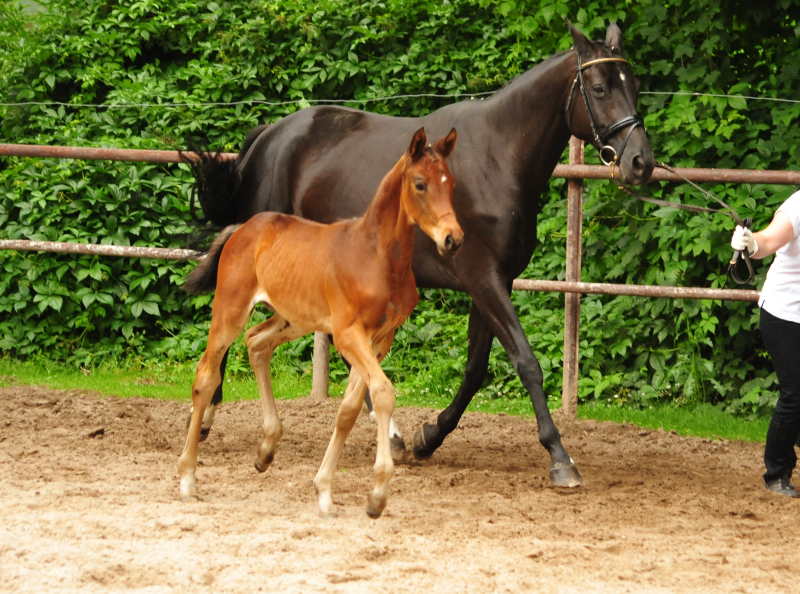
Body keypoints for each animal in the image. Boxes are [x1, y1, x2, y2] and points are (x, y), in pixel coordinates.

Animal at [177, 127, 460, 516]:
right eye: (420, 184)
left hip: (293, 318)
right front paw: (377, 495)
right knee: (206, 375)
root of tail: (241, 228)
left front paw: (325, 490)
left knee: (256, 343)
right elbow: (382, 393)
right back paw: (188, 478)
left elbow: (349, 410)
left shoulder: (379, 339)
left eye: (451, 184)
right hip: (230, 310)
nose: (453, 238)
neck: (378, 257)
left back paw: (266, 449)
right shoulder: (348, 335)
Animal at [189, 22, 656, 486]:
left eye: (634, 85)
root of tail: (267, 138)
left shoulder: (492, 282)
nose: (640, 162)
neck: (497, 157)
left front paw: (428, 436)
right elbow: (526, 362)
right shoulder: (484, 279)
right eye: (599, 88)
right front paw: (560, 457)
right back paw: (209, 415)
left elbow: (475, 369)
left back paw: (393, 437)